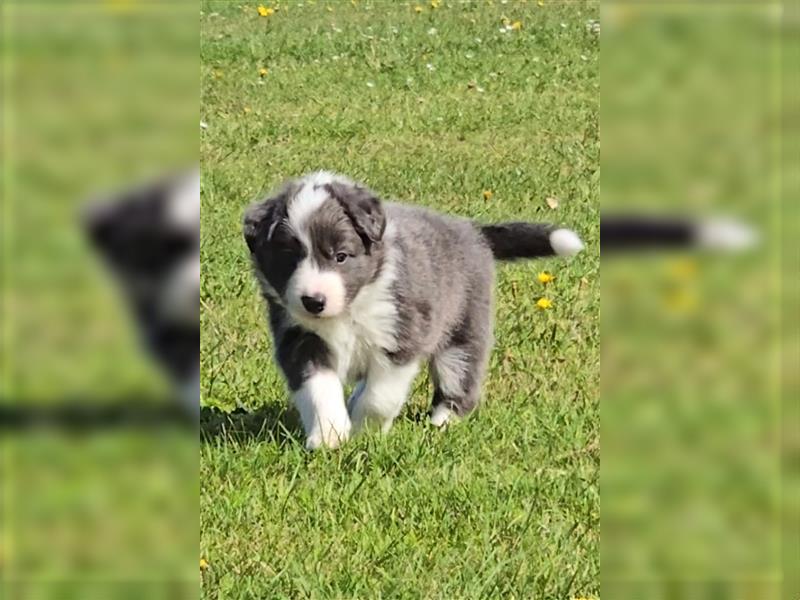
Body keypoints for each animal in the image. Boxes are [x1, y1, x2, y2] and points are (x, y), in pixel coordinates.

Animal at [241, 171, 584, 448]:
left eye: (340, 256)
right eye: (289, 257)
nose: (314, 301)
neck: (351, 309)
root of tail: (473, 231)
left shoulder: (400, 335)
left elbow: (380, 396)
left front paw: (365, 433)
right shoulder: (301, 339)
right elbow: (319, 389)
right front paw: (329, 436)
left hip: (463, 330)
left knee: (460, 376)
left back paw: (443, 421)